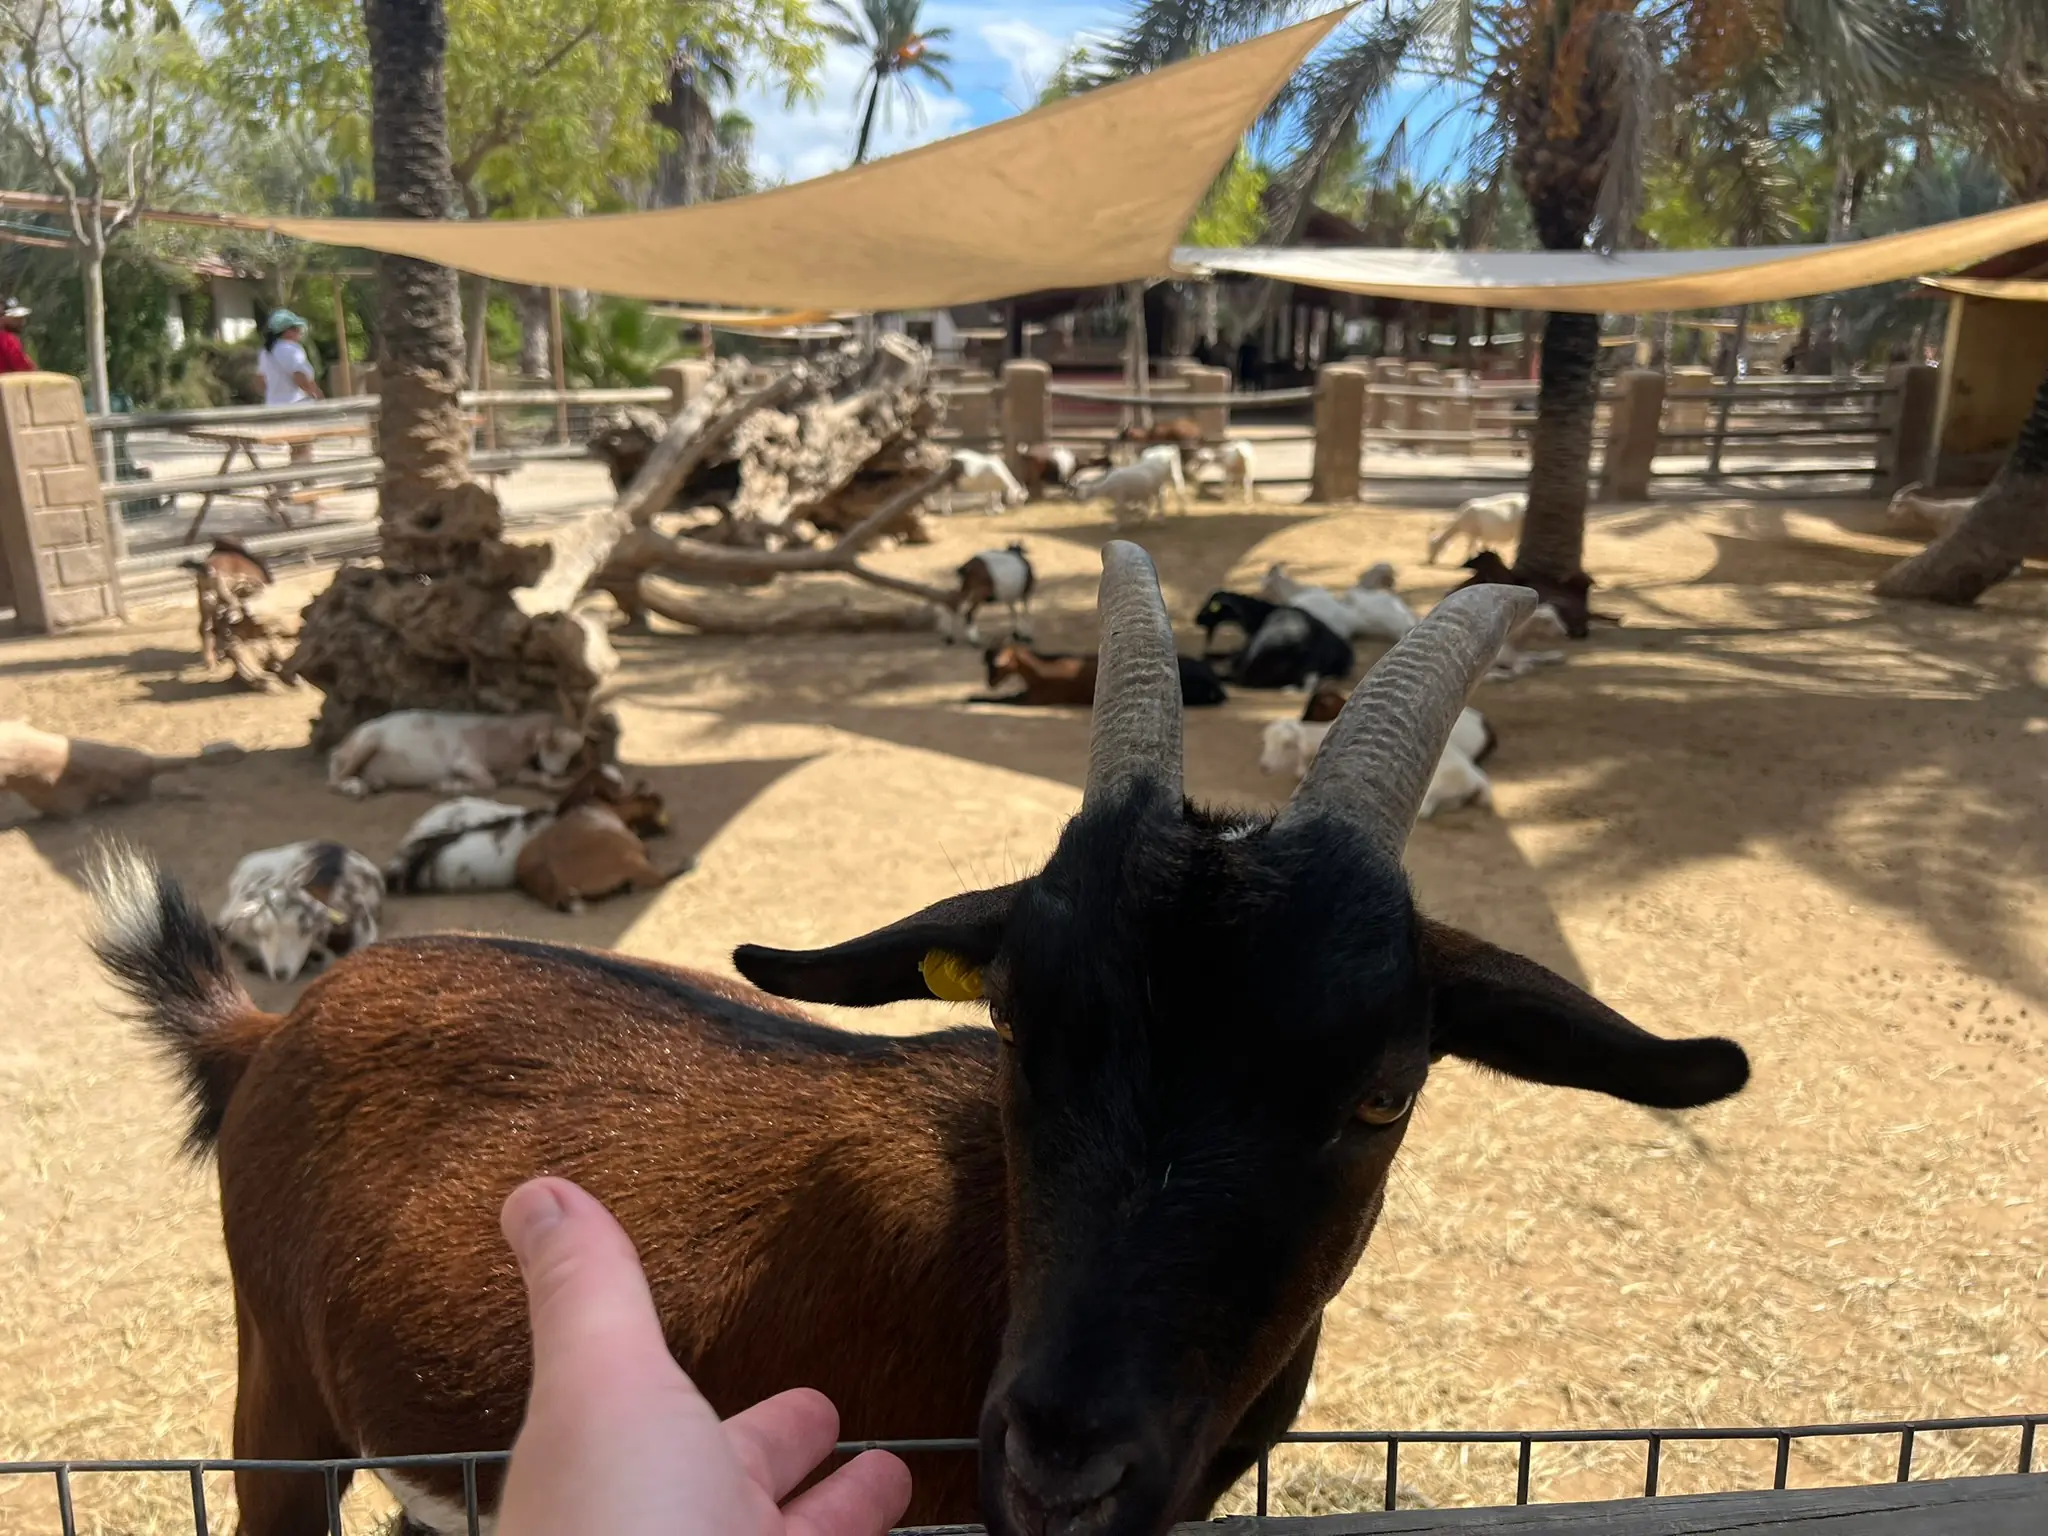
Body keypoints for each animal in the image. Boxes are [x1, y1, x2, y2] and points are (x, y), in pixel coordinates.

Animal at [327, 710, 587, 798]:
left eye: (572, 752)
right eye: (552, 743)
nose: (557, 771)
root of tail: (341, 746)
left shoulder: (517, 772)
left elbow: (537, 779)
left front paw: (561, 783)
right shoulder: (465, 761)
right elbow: (488, 783)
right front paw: (445, 786)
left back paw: (373, 783)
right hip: (366, 742)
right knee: (334, 780)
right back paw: (354, 788)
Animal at [973, 644, 1227, 708]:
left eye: (997, 666)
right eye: (986, 663)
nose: (989, 682)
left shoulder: (1036, 699)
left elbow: (1005, 700)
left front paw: (975, 698)